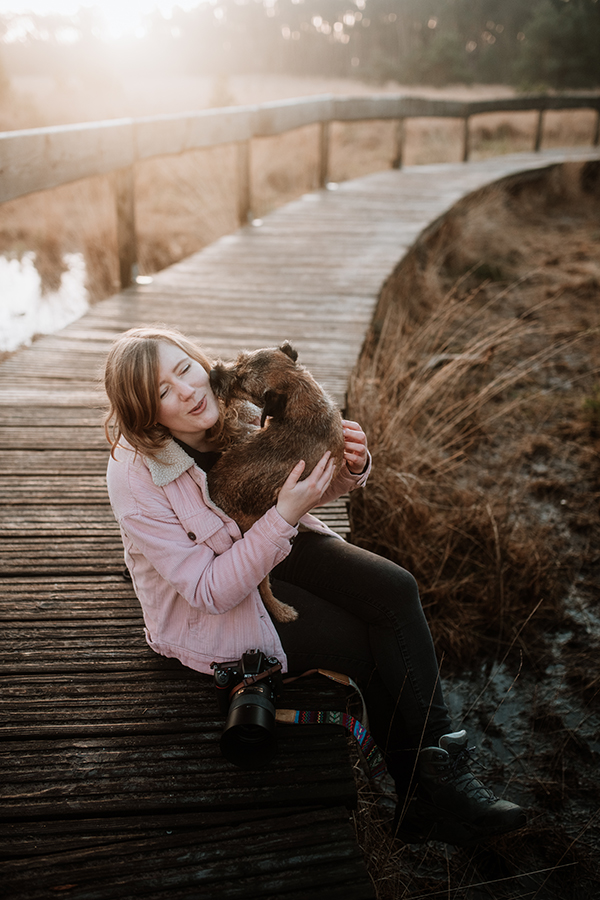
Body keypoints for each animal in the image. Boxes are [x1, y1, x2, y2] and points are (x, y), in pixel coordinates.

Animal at [207, 342, 344, 624]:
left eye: (242, 382)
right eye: (238, 361)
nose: (213, 373)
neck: (303, 399)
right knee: (261, 584)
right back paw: (280, 609)